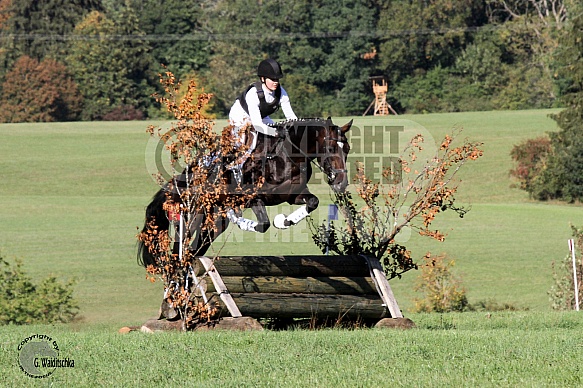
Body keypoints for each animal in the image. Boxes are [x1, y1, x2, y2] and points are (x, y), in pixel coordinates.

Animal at [139, 117, 354, 266]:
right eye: (330, 148)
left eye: (348, 149)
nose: (341, 184)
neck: (286, 157)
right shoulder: (253, 198)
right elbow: (263, 223)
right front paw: (243, 220)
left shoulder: (293, 195)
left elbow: (312, 202)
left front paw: (284, 221)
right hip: (195, 213)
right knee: (181, 247)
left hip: (214, 223)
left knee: (196, 248)